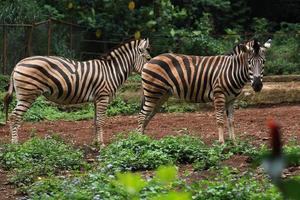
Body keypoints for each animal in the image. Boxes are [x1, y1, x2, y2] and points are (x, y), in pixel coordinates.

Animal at [3, 38, 151, 144]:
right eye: (148, 58)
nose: (149, 72)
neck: (110, 71)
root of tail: (17, 64)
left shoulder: (97, 99)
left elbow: (95, 121)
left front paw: (95, 143)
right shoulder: (103, 97)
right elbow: (101, 121)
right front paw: (102, 144)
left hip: (23, 95)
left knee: (15, 117)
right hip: (27, 95)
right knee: (14, 116)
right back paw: (15, 144)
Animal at [138, 38, 272, 143]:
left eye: (263, 62)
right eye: (249, 62)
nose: (257, 85)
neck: (232, 70)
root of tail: (150, 60)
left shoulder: (231, 99)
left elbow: (231, 121)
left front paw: (234, 142)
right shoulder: (219, 95)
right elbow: (220, 120)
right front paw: (222, 142)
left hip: (161, 95)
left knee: (148, 115)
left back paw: (144, 138)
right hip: (152, 92)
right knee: (142, 114)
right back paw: (139, 140)